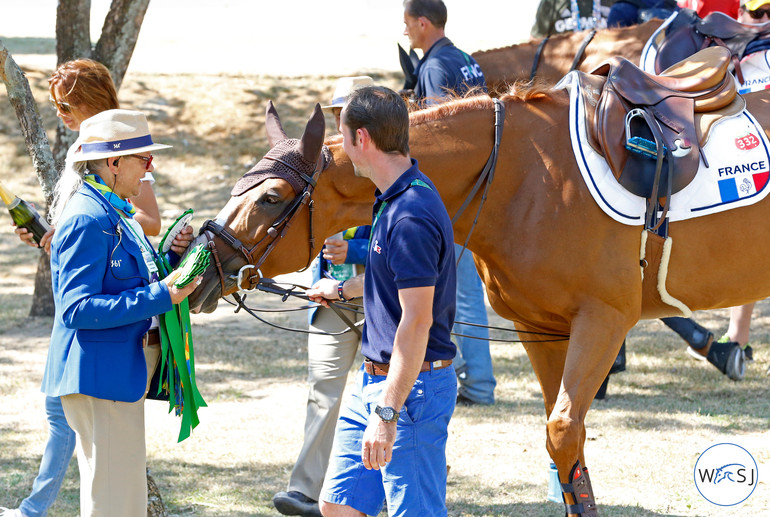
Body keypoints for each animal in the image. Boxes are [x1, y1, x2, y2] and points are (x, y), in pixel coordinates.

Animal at [184, 90, 768, 512]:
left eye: (271, 197)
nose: (201, 262)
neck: (525, 176)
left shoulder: (603, 321)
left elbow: (563, 433)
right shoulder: (543, 328)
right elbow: (568, 449)